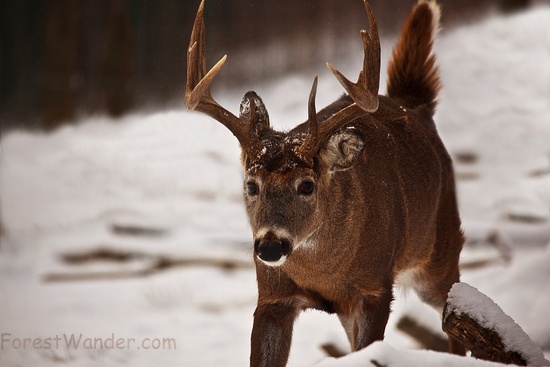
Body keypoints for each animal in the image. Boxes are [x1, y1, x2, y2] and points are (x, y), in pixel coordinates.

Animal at [185, 0, 466, 366]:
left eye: (307, 184)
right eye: (251, 184)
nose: (270, 246)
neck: (324, 275)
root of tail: (414, 106)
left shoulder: (374, 290)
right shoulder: (271, 296)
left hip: (439, 251)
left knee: (457, 316)